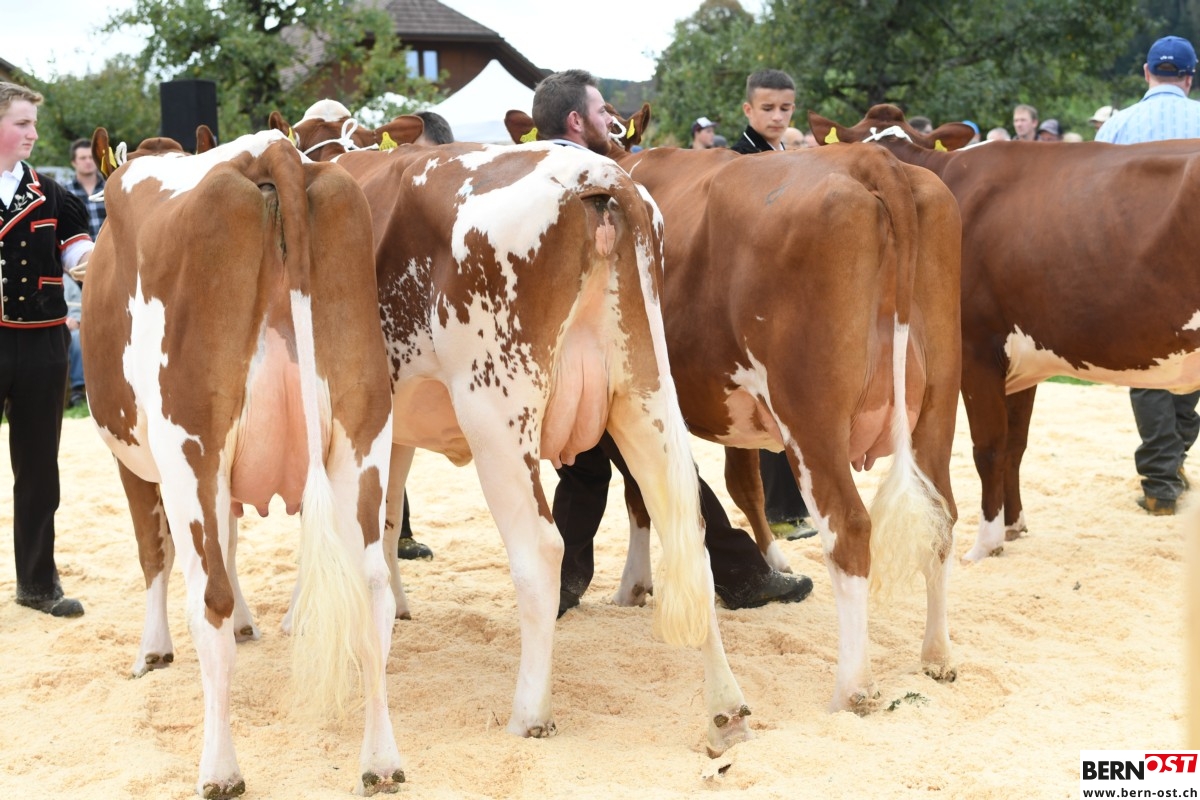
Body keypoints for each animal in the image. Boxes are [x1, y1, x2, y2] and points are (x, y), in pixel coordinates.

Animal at [83, 128, 400, 797]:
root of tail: (269, 151)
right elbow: (228, 537)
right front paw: (250, 624)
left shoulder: (138, 462)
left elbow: (153, 552)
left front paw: (152, 651)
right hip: (363, 434)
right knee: (372, 591)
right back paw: (381, 759)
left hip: (189, 447)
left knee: (209, 599)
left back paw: (220, 768)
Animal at [270, 102, 754, 757]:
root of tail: (597, 177)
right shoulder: (391, 424)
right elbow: (387, 518)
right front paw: (392, 607)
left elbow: (325, 522)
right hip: (644, 392)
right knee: (688, 526)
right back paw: (726, 710)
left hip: (495, 413)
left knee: (540, 549)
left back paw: (531, 712)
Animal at [506, 105, 964, 713]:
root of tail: (871, 160)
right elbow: (734, 486)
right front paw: (769, 568)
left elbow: (642, 494)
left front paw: (633, 584)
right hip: (938, 403)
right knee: (943, 514)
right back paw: (937, 654)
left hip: (811, 416)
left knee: (849, 527)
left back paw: (854, 687)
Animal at [808, 103, 1200, 561]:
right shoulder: (1021, 361)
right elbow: (1016, 446)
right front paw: (1014, 526)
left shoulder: (977, 349)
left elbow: (989, 447)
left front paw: (986, 542)